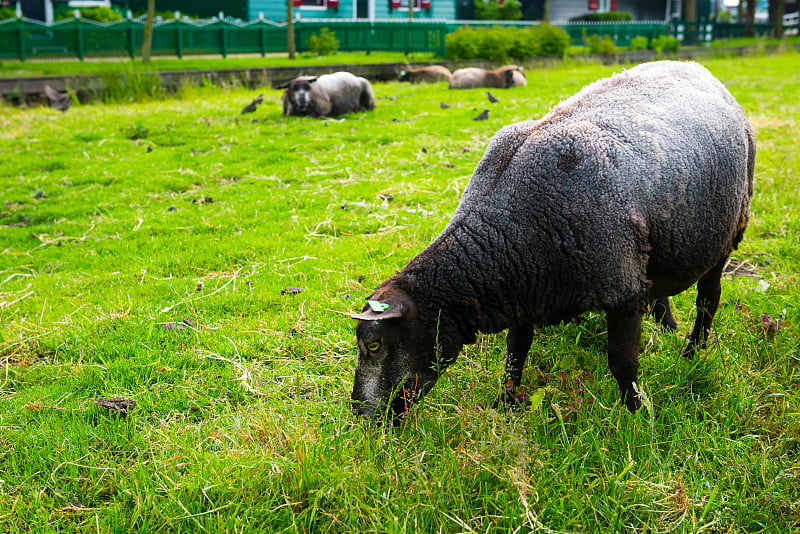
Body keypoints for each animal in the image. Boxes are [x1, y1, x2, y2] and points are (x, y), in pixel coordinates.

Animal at [352, 61, 756, 422]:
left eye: (374, 345)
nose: (360, 414)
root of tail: (699, 68)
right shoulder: (521, 287)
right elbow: (516, 350)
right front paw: (505, 403)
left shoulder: (620, 288)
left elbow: (623, 363)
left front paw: (637, 416)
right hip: (655, 246)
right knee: (659, 289)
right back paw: (669, 328)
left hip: (728, 233)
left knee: (708, 298)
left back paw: (693, 352)